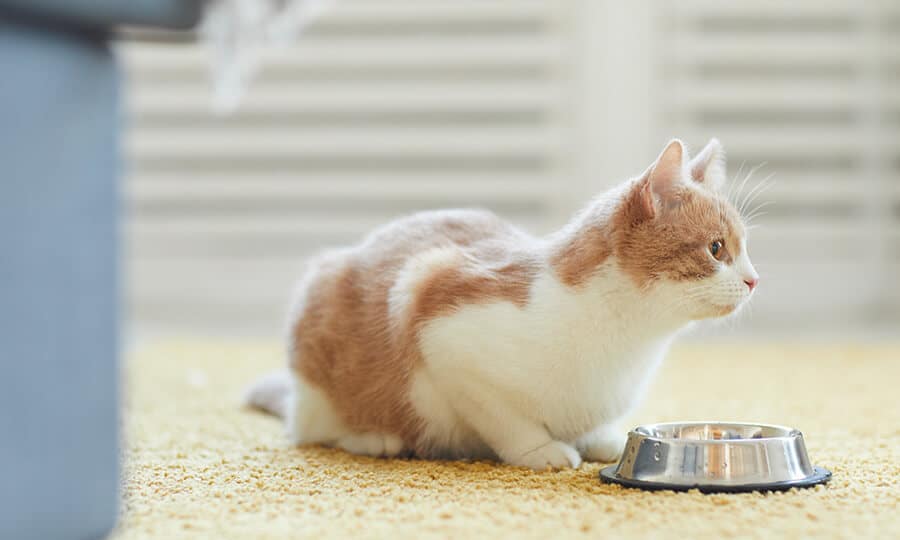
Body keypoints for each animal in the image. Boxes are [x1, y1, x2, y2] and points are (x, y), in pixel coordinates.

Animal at [243, 138, 756, 468]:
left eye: (744, 248)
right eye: (716, 249)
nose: (754, 280)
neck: (629, 341)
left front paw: (595, 438)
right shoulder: (435, 315)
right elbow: (504, 418)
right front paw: (541, 451)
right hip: (325, 330)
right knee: (314, 429)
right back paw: (376, 438)